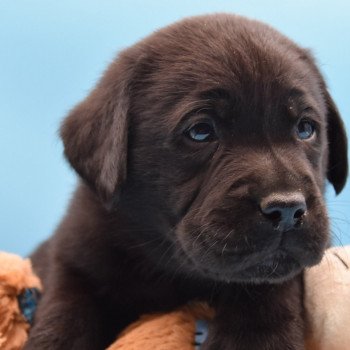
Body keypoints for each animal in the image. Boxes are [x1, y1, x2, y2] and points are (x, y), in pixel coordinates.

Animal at [25, 13, 348, 350]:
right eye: (201, 131)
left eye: (305, 128)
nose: (286, 209)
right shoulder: (74, 259)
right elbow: (65, 313)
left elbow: (267, 294)